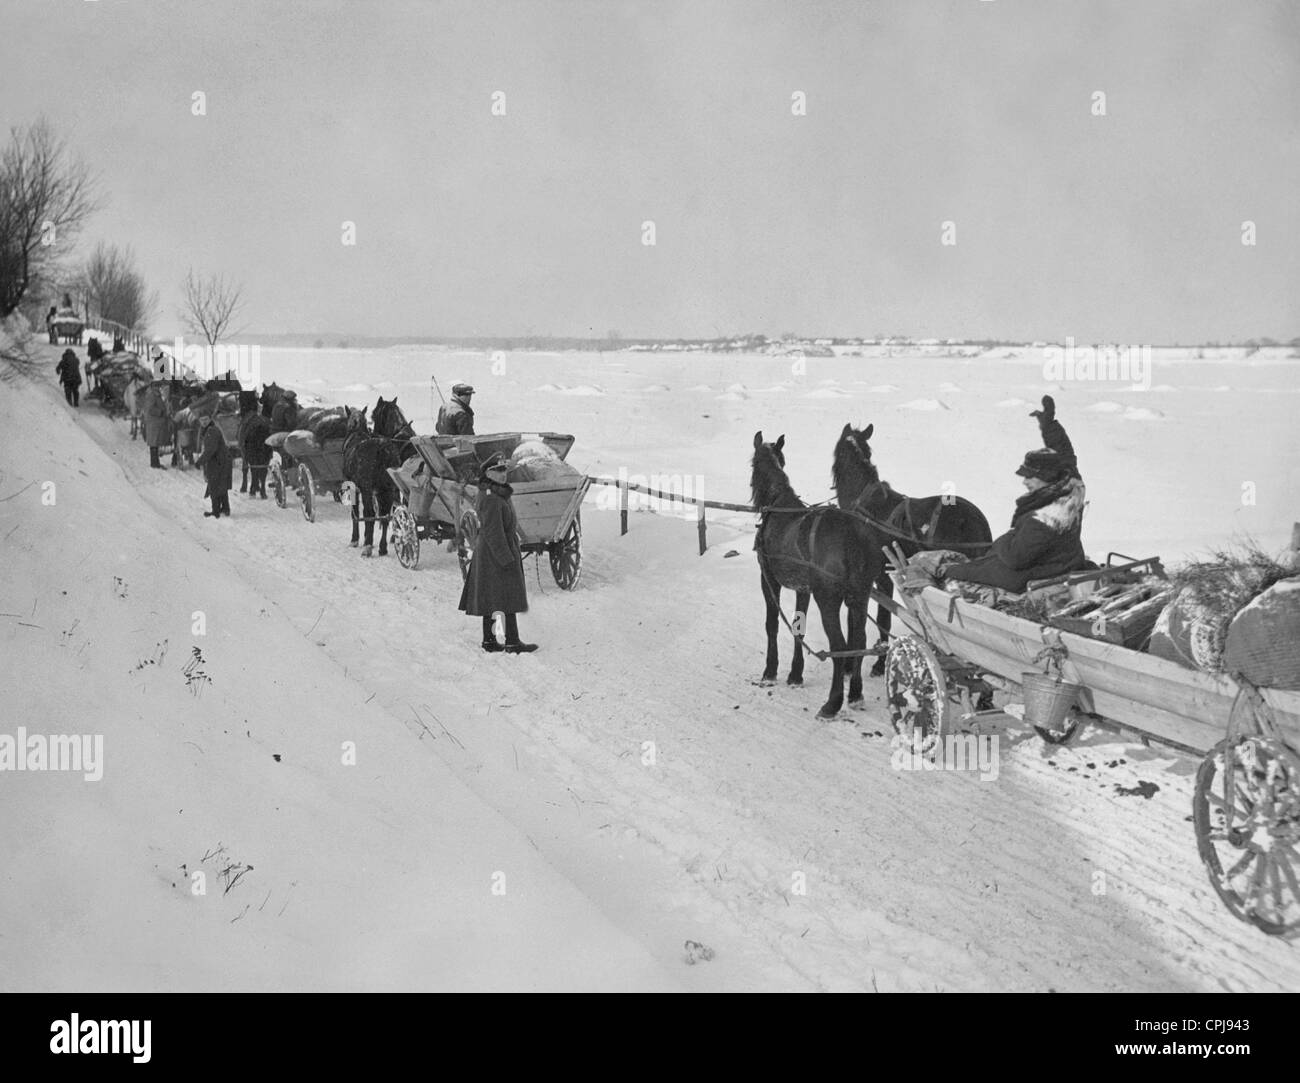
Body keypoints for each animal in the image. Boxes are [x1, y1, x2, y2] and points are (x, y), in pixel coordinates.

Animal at [343, 397, 413, 556]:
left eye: (374, 416)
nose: (374, 431)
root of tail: (381, 449)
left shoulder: (354, 488)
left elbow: (356, 514)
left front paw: (356, 539)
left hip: (369, 489)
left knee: (371, 513)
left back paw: (368, 546)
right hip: (386, 489)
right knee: (385, 516)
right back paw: (383, 546)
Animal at [754, 431, 883, 717]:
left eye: (753, 463)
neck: (778, 503)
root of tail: (852, 537)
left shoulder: (769, 580)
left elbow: (771, 624)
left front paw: (770, 671)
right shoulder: (803, 588)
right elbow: (798, 627)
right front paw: (795, 675)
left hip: (829, 599)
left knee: (839, 645)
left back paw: (833, 703)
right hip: (860, 595)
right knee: (859, 639)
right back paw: (855, 694)